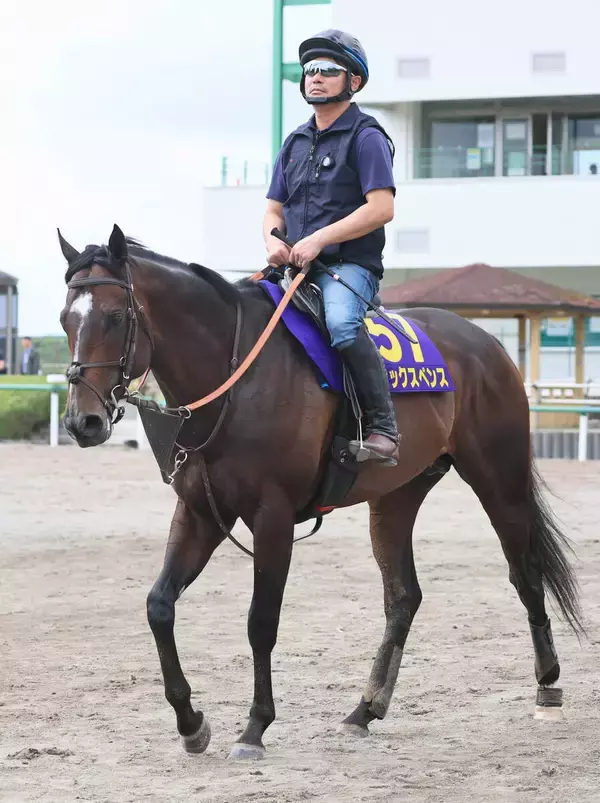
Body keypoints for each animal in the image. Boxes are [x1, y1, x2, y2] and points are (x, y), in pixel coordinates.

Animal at [58, 224, 582, 760]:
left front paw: (255, 727)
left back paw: (548, 685)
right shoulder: (200, 513)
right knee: (403, 597)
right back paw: (365, 709)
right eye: (64, 320)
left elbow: (261, 622)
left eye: (116, 316)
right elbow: (159, 606)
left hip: (499, 479)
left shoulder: (271, 517)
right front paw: (191, 723)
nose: (83, 422)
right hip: (396, 496)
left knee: (526, 572)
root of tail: (486, 342)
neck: (235, 378)